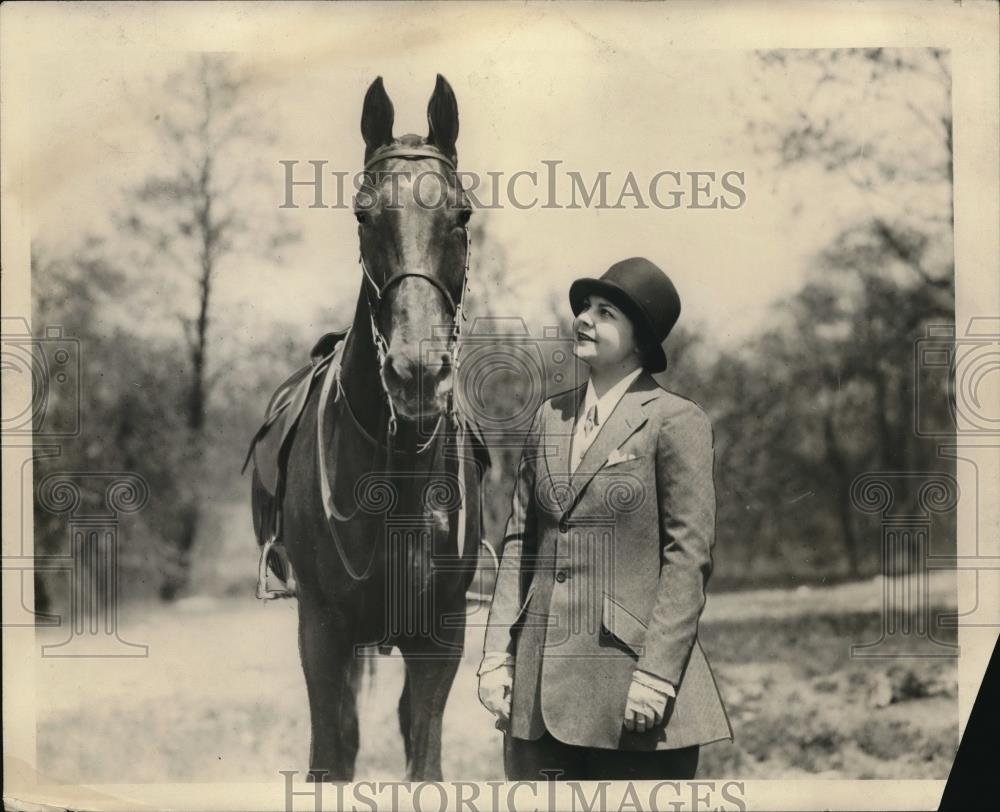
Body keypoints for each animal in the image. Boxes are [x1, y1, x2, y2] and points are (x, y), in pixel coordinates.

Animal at [246, 74, 488, 780]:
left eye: (461, 215)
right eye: (362, 215)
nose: (416, 374)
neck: (395, 467)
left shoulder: (441, 634)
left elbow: (424, 756)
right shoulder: (321, 632)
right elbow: (331, 752)